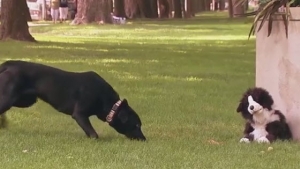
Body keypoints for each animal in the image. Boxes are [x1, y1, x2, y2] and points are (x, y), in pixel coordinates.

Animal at [0, 60, 146, 141]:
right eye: (136, 125)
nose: (144, 139)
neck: (110, 105)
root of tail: (9, 64)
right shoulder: (79, 114)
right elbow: (94, 134)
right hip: (10, 98)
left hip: (24, 101)